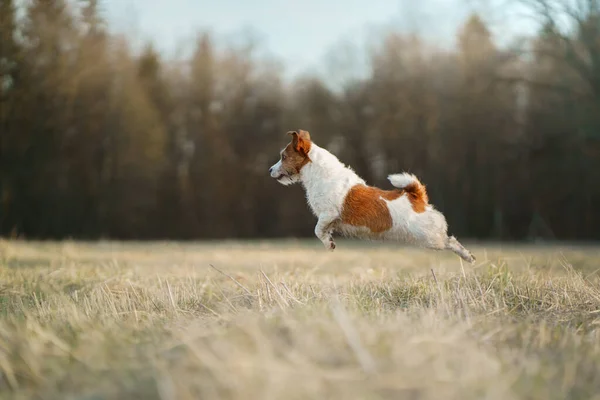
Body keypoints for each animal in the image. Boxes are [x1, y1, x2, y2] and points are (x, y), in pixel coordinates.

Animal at [270, 130, 476, 264]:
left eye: (283, 156)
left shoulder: (328, 214)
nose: (270, 170)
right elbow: (323, 231)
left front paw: (329, 245)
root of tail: (417, 197)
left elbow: (317, 230)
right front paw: (329, 241)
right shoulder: (329, 219)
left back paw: (468, 256)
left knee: (451, 241)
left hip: (431, 238)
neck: (319, 173)